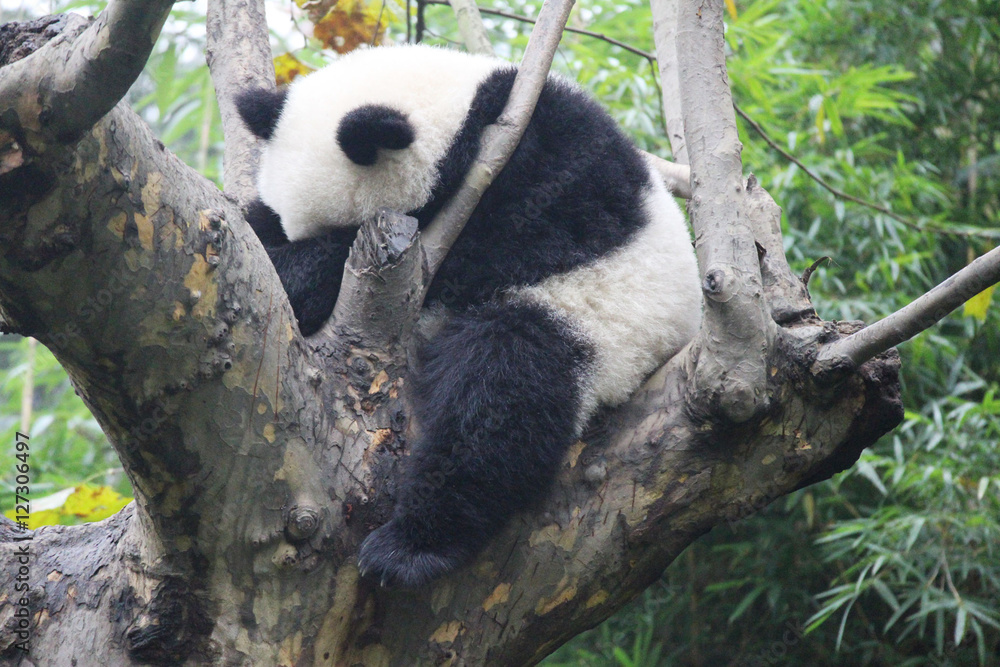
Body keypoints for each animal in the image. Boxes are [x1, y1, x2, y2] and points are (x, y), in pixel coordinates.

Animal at [235, 44, 702, 588]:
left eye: (341, 225)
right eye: (284, 220)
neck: (465, 115)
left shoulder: (546, 166)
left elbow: (493, 249)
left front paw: (303, 273)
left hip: (601, 331)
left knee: (503, 389)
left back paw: (412, 546)